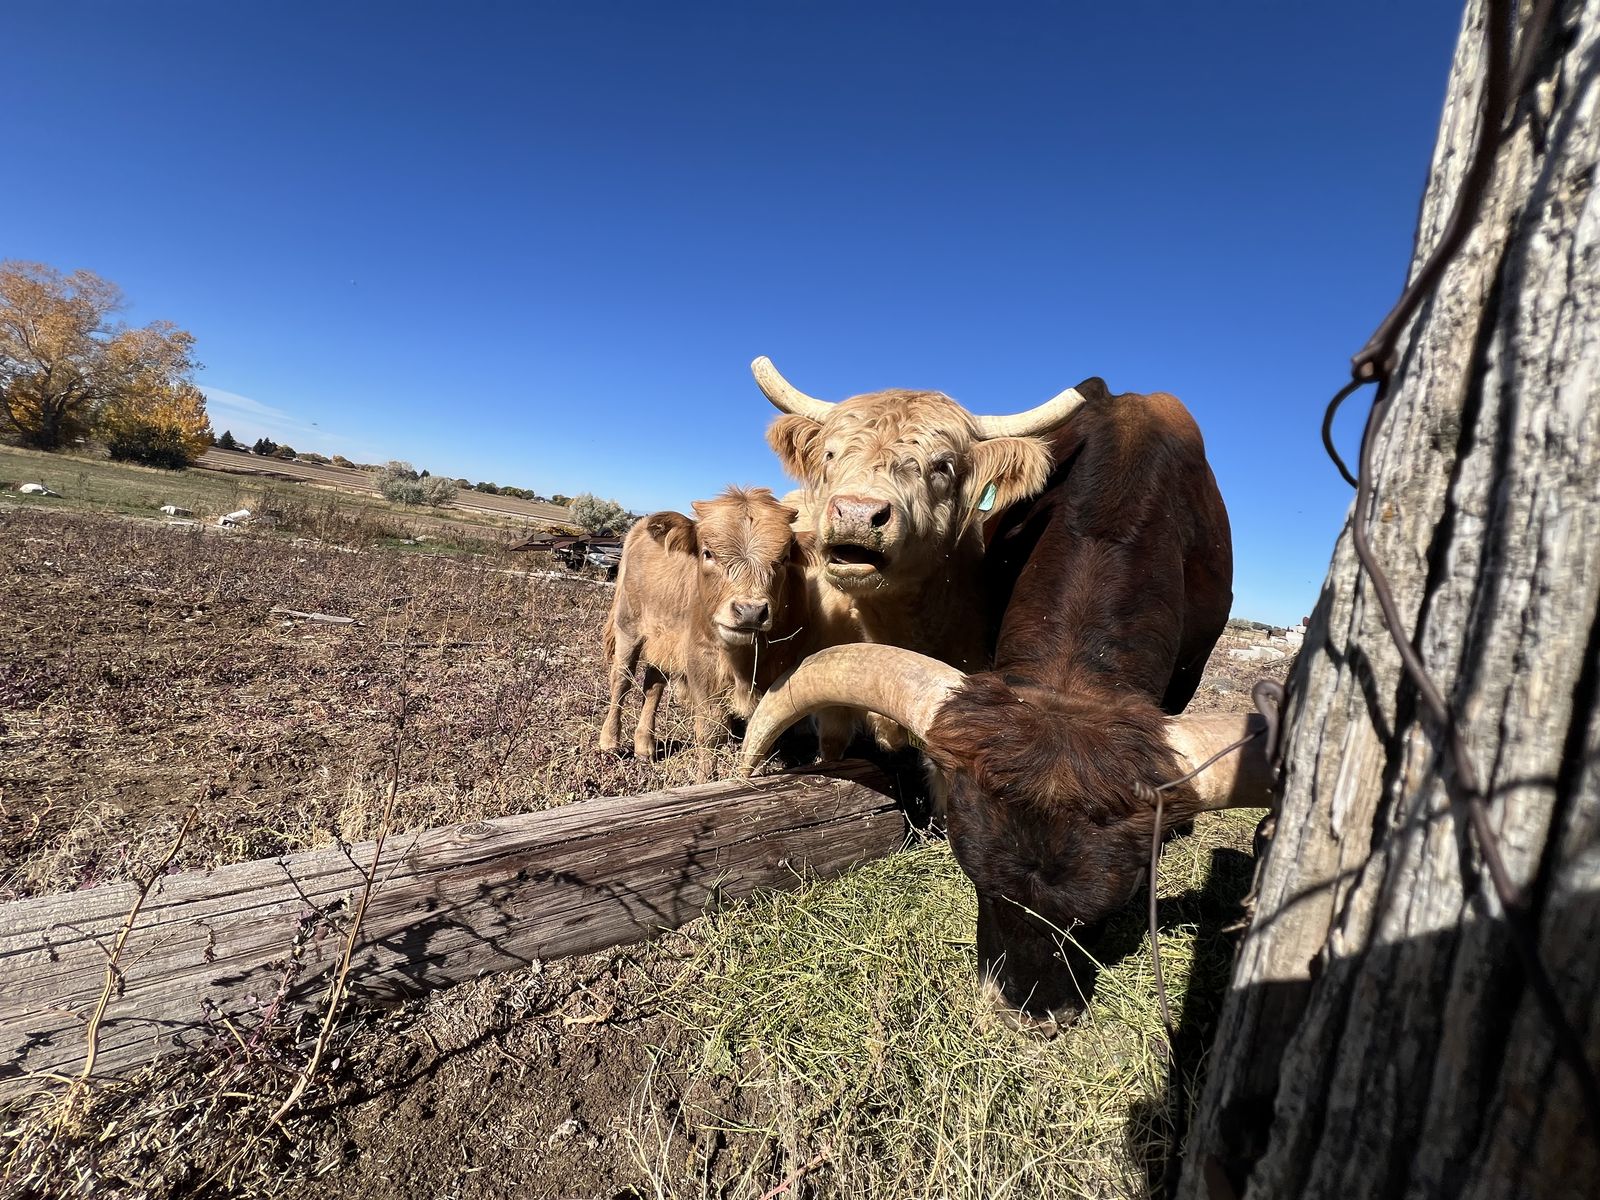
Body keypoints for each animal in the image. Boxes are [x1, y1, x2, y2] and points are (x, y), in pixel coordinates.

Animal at [599, 486, 813, 778]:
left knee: (653, 685)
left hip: (664, 640)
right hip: (628, 628)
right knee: (621, 681)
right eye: (708, 553)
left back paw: (645, 746)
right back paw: (610, 742)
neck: (744, 659)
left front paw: (755, 774)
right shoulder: (700, 661)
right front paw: (706, 778)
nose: (750, 611)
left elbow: (762, 727)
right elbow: (709, 730)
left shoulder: (778, 668)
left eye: (783, 559)